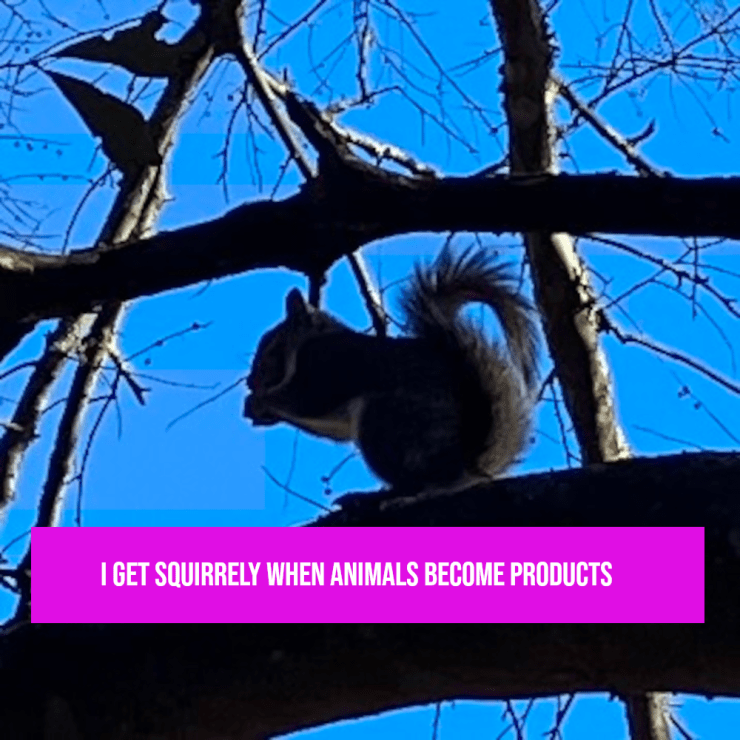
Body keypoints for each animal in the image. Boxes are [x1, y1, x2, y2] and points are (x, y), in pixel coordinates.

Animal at [244, 247, 539, 494]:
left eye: (271, 348)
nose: (250, 383)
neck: (310, 341)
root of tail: (463, 468)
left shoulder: (327, 364)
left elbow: (305, 399)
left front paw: (259, 401)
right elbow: (334, 430)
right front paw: (261, 413)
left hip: (386, 422)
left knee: (419, 484)